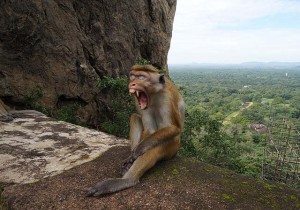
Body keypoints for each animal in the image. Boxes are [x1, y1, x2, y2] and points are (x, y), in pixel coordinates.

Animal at [85, 64, 185, 197]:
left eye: (141, 77)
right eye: (132, 77)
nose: (132, 83)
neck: (153, 95)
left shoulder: (167, 98)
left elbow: (174, 127)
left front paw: (139, 149)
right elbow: (149, 129)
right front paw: (131, 156)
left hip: (172, 147)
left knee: (154, 147)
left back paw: (126, 180)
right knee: (135, 117)